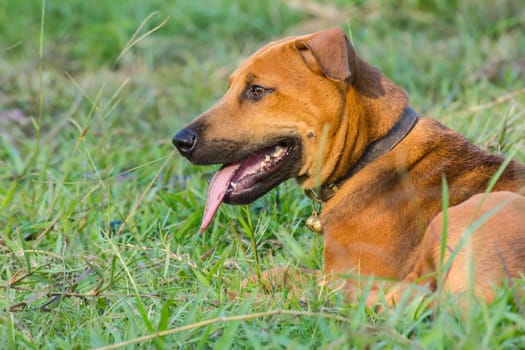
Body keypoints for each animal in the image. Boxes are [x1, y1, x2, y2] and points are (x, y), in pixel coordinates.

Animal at [173, 28, 524, 306]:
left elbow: (290, 276)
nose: (180, 141)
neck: (369, 156)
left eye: (257, 90)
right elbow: (275, 272)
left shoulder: (349, 276)